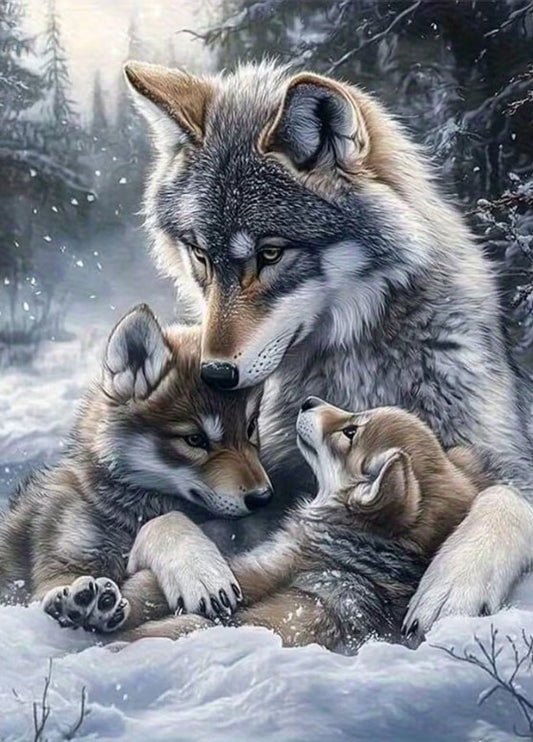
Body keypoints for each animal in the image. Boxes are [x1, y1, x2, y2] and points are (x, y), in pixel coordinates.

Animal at [0, 304, 270, 632]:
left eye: (250, 428)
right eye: (195, 439)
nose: (264, 498)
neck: (126, 513)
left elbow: (166, 522)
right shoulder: (56, 570)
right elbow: (168, 521)